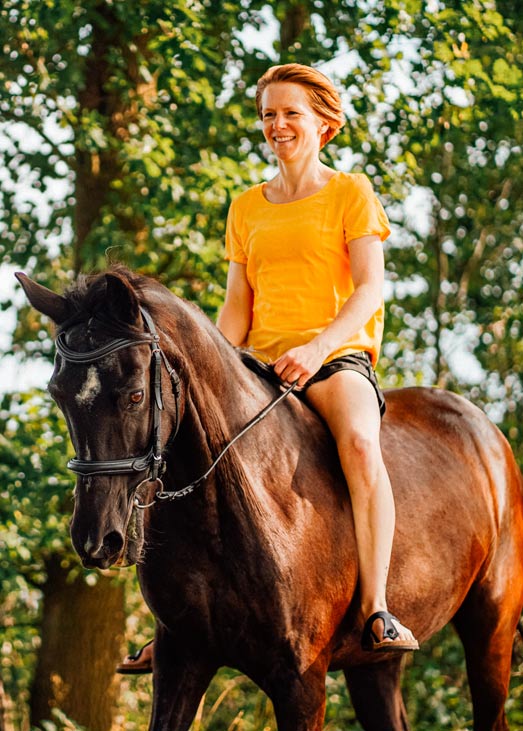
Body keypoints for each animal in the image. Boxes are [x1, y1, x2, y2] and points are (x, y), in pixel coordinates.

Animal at [15, 268, 523, 731]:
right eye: (58, 395)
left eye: (136, 395)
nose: (96, 539)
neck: (229, 510)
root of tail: (487, 433)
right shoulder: (180, 660)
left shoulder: (301, 682)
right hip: (373, 665)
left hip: (491, 630)